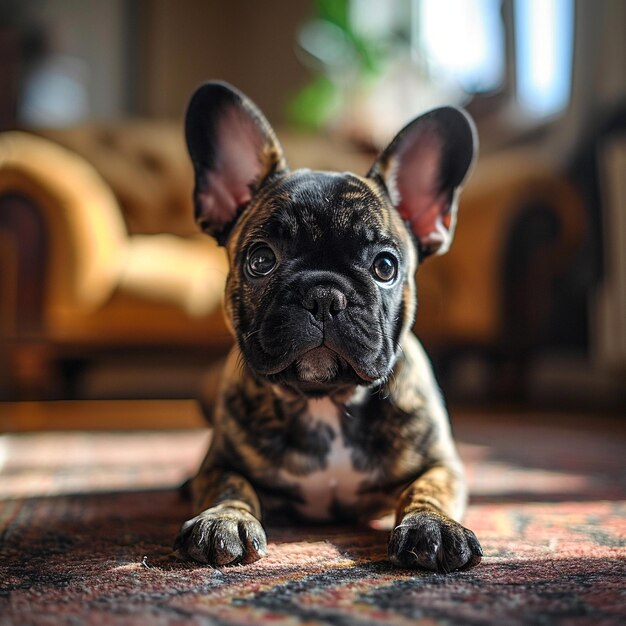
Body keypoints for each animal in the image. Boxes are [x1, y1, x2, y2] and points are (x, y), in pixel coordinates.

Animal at [173, 81, 480, 572]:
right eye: (261, 260)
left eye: (385, 266)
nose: (324, 295)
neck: (324, 400)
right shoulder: (222, 462)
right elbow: (230, 484)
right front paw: (225, 519)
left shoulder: (441, 464)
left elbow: (427, 489)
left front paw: (433, 526)